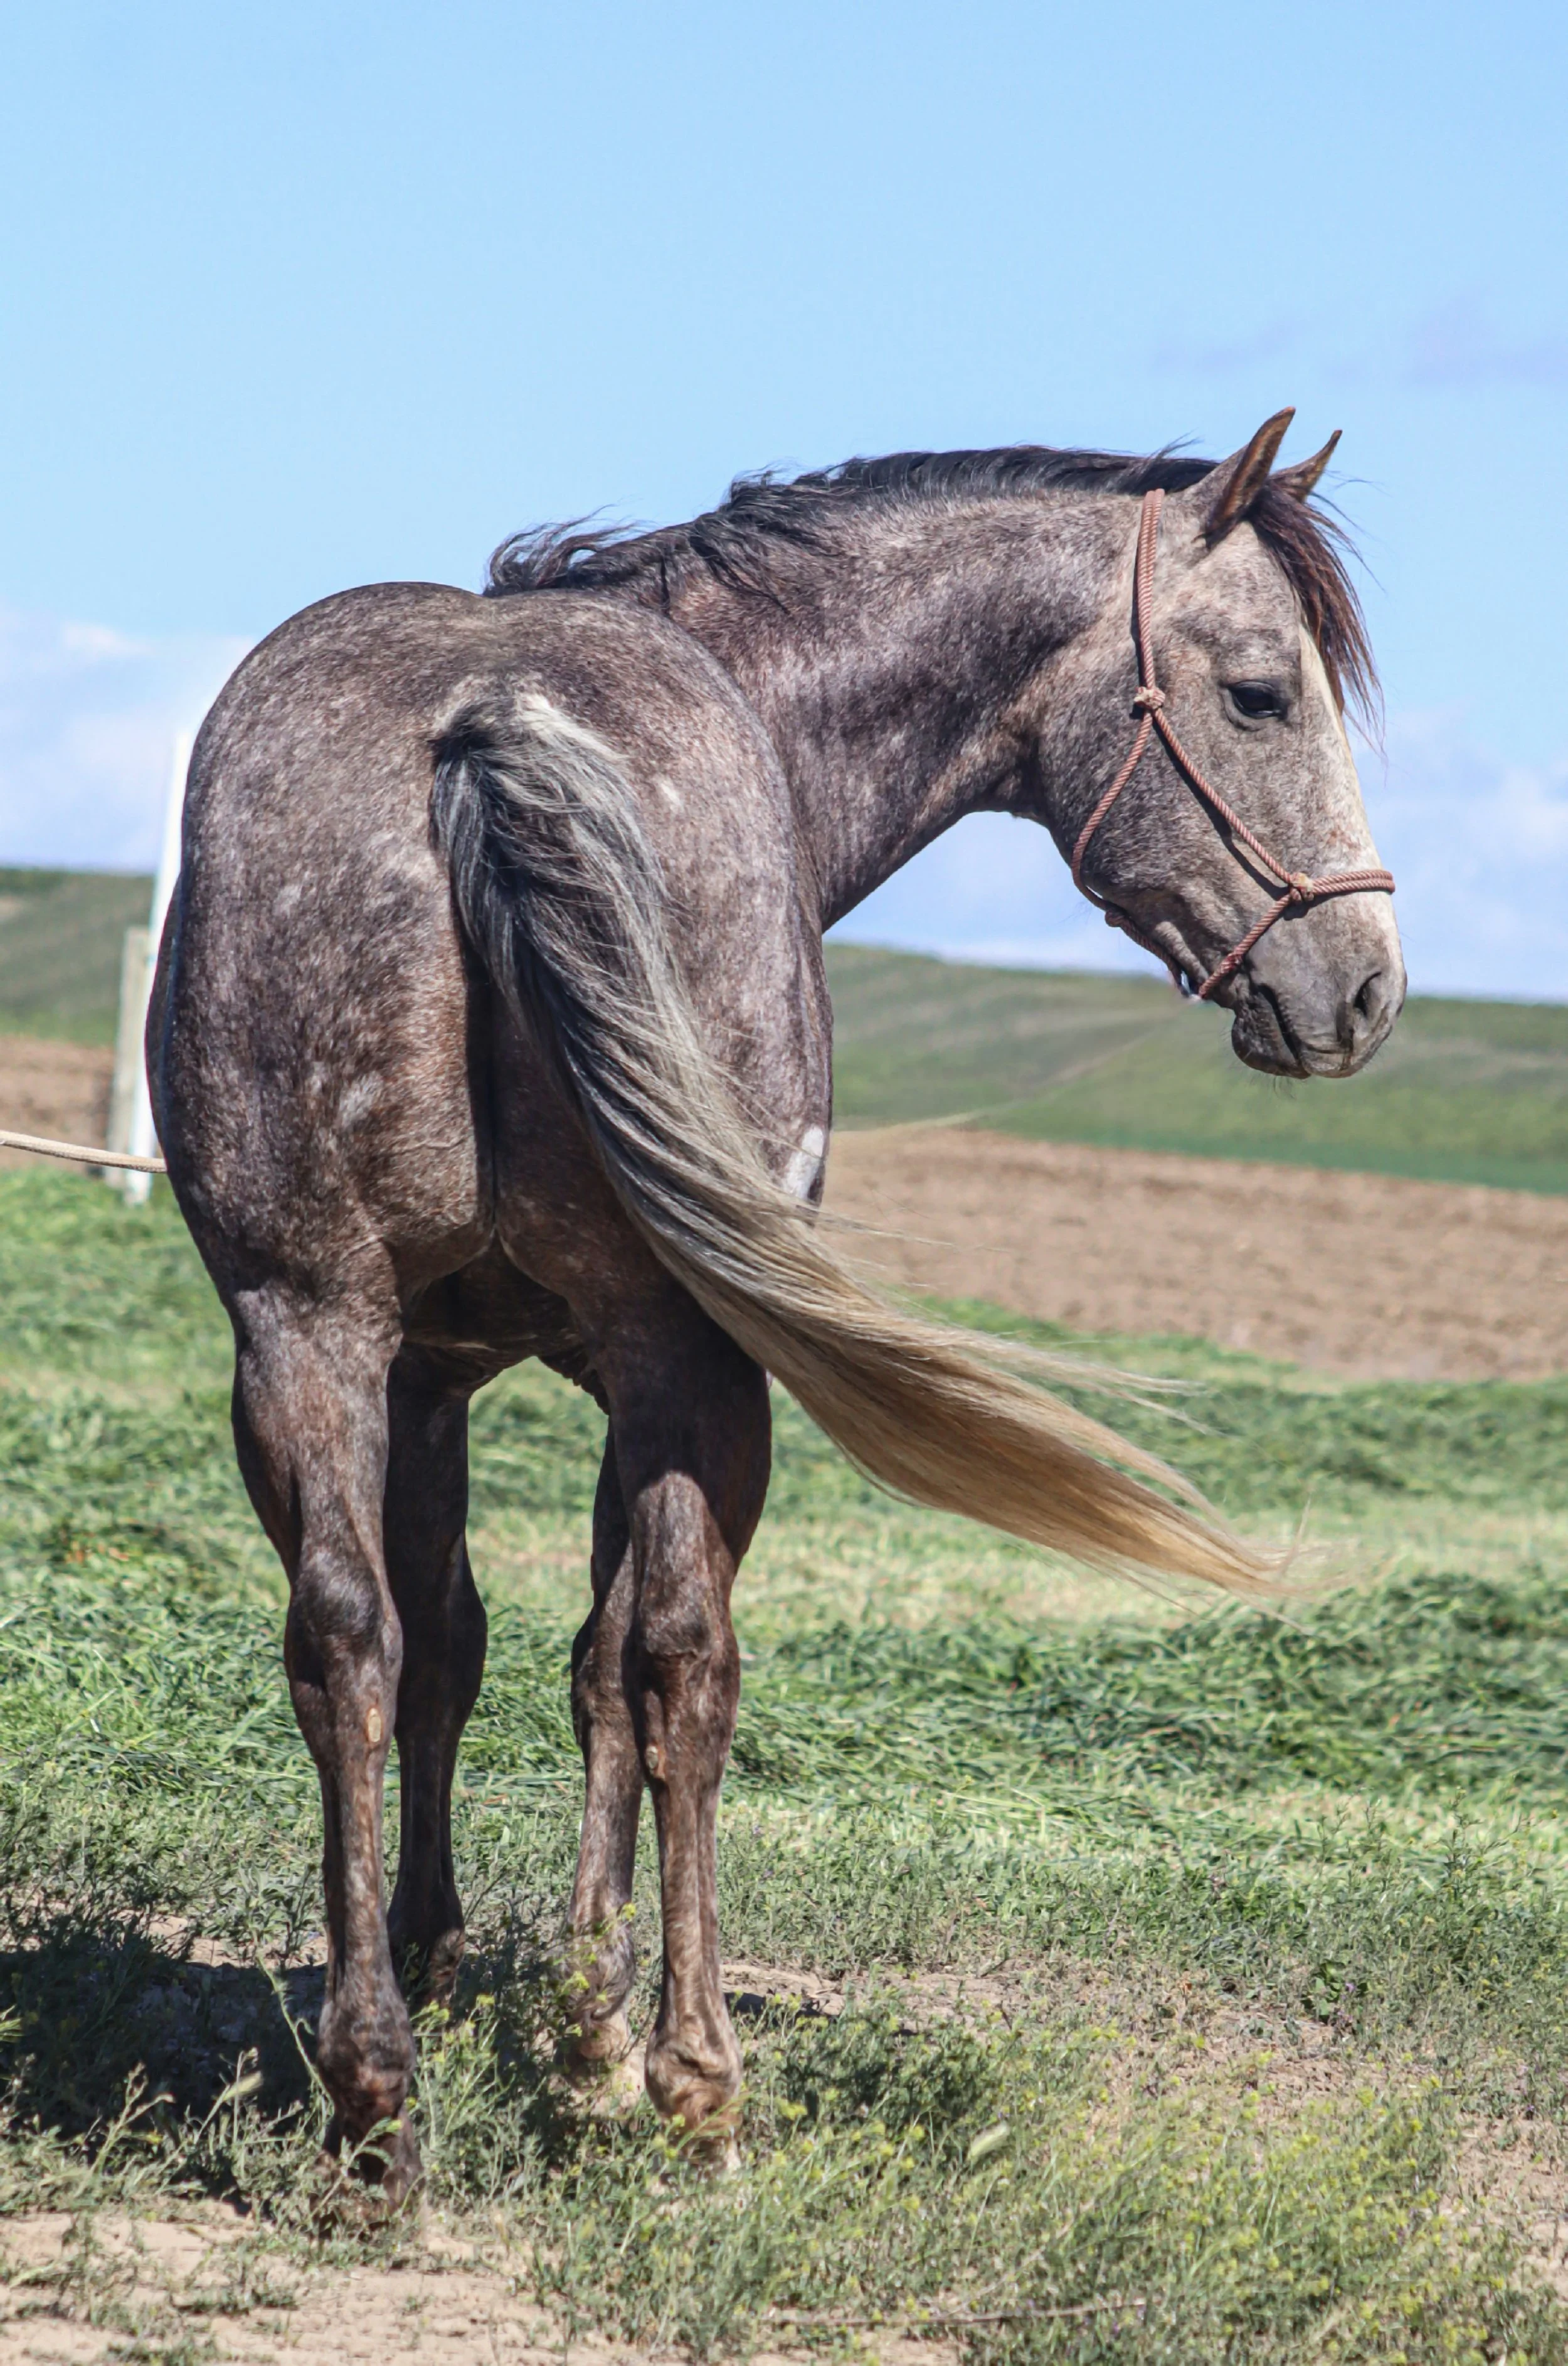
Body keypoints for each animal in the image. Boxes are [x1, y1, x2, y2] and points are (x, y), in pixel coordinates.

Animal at [149, 407, 1403, 2196]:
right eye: (1257, 692)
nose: (1362, 988)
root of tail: (483, 722)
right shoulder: (645, 1364)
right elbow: (612, 1660)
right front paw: (596, 2034)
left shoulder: (424, 1368)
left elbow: (451, 1643)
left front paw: (445, 1962)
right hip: (689, 1361)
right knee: (688, 1662)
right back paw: (693, 2081)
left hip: (299, 1326)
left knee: (344, 1641)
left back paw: (373, 2086)